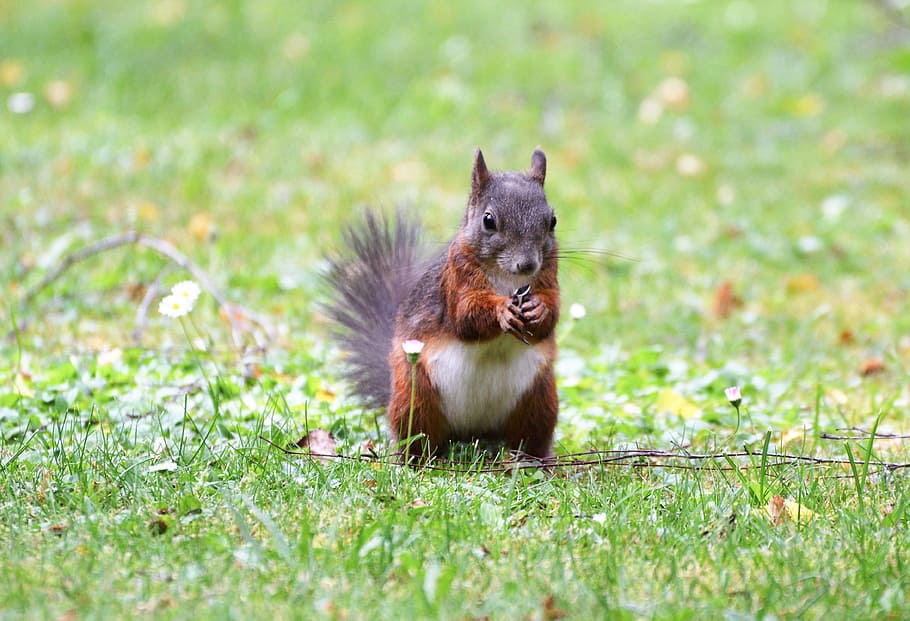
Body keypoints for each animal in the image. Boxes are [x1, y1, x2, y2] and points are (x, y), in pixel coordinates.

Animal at [325, 148, 559, 459]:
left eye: (552, 220)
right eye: (488, 220)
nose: (528, 264)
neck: (508, 280)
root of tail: (472, 434)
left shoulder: (550, 277)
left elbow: (551, 315)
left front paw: (539, 310)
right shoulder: (456, 281)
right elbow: (466, 316)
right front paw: (502, 311)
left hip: (539, 400)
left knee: (530, 437)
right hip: (416, 398)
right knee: (419, 436)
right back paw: (421, 459)